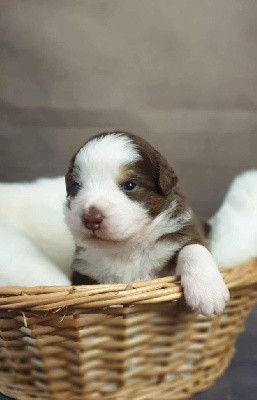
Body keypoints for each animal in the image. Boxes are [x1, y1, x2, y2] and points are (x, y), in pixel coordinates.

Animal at [64, 131, 228, 316]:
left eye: (129, 185)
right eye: (76, 186)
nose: (91, 218)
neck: (126, 250)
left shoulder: (182, 234)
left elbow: (193, 248)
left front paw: (208, 293)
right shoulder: (84, 270)